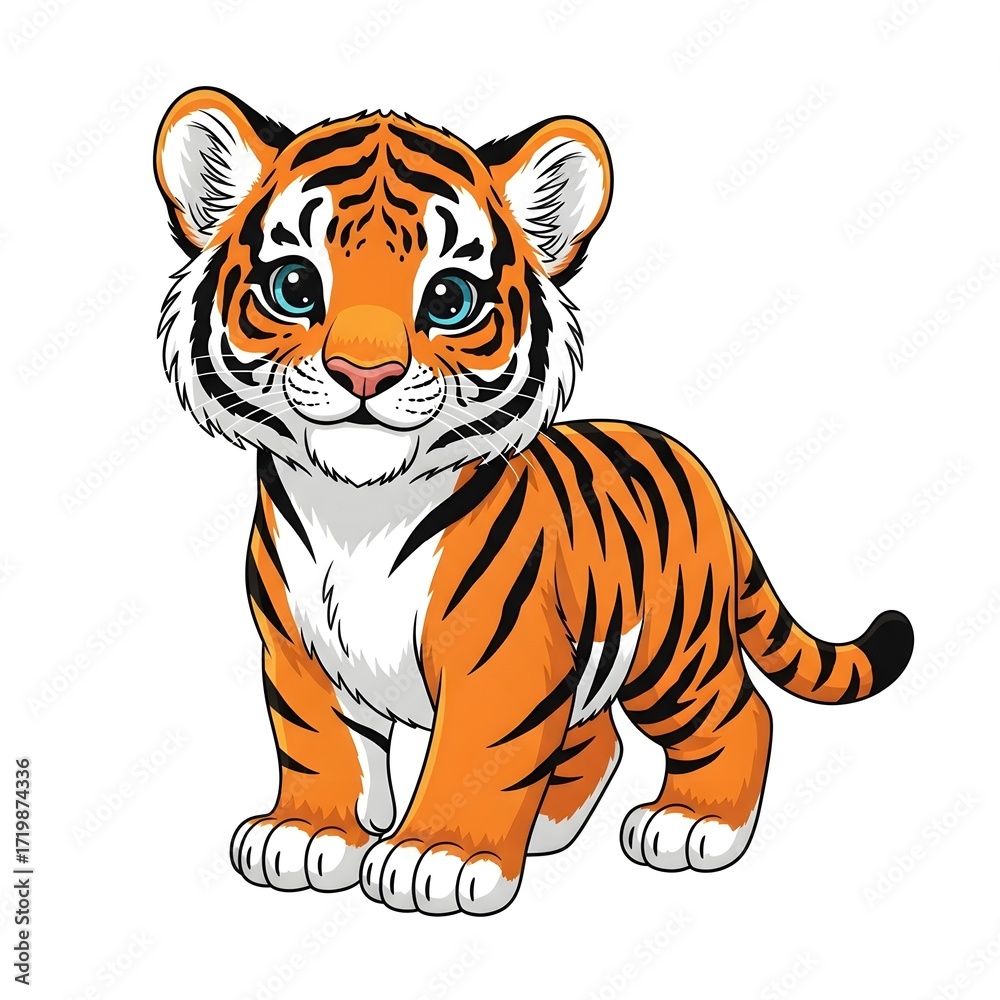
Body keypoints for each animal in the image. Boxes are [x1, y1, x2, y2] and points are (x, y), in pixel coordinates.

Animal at [153, 87, 914, 916]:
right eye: (295, 287)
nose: (365, 373)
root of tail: (699, 471)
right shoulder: (299, 651)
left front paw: (438, 857)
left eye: (448, 298)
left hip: (675, 648)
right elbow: (319, 742)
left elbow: (473, 757)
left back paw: (692, 823)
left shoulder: (503, 658)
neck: (357, 512)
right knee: (600, 737)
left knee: (740, 714)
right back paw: (550, 822)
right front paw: (308, 833)